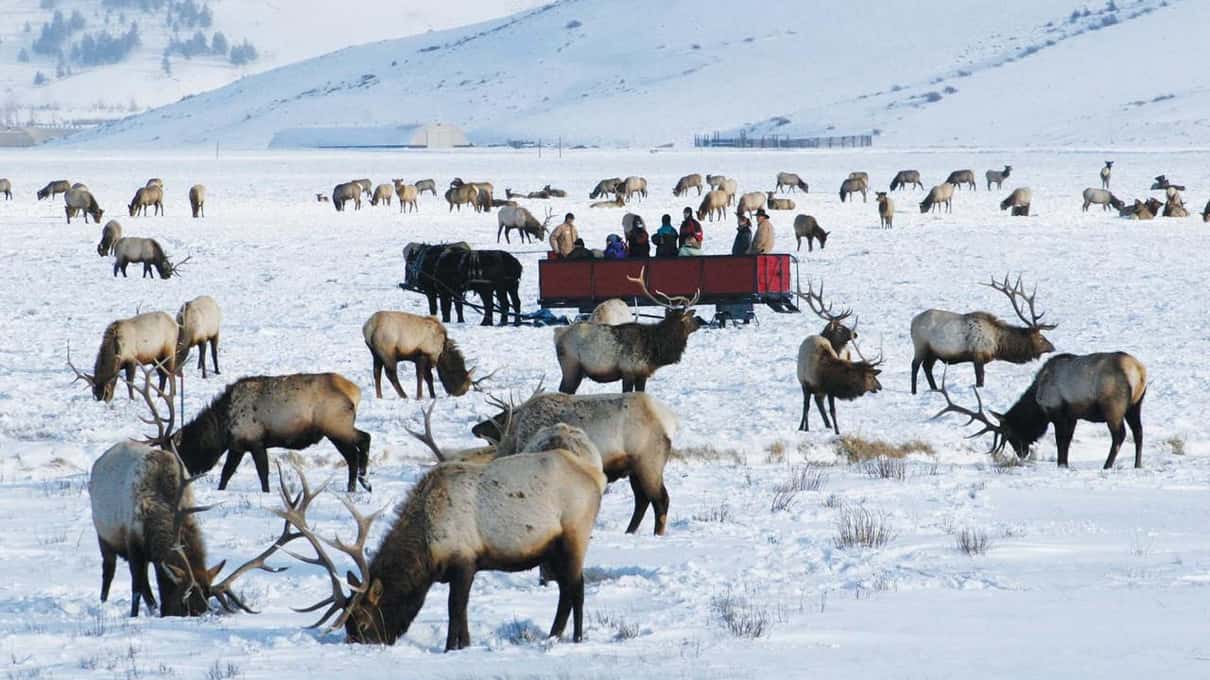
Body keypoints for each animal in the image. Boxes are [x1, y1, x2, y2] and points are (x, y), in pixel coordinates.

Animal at [274, 410, 606, 649]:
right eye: (348, 625)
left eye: (363, 622)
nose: (361, 645)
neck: (427, 553)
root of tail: (594, 474)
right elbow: (461, 611)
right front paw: (462, 644)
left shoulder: (465, 561)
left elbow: (455, 608)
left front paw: (452, 647)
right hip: (553, 546)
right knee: (568, 587)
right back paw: (557, 635)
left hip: (575, 534)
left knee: (575, 588)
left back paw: (571, 638)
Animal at [554, 267, 702, 393]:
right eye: (689, 317)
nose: (699, 322)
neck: (656, 348)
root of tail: (557, 335)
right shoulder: (628, 370)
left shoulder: (642, 373)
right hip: (571, 366)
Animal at [910, 274, 1056, 394]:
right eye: (1041, 338)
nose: (1053, 347)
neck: (998, 344)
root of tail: (912, 322)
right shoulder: (978, 354)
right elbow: (980, 380)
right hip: (921, 345)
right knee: (915, 366)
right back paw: (914, 391)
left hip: (933, 352)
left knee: (927, 367)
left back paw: (934, 389)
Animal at [935, 351, 1147, 469]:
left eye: (1011, 434)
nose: (1021, 453)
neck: (1037, 404)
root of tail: (1139, 371)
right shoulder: (1072, 416)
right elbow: (1066, 442)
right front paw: (1064, 464)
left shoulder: (1058, 413)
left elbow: (1062, 442)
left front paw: (1062, 465)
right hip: (1135, 405)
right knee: (1138, 432)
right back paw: (1137, 464)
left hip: (1113, 406)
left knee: (1119, 435)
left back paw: (1107, 466)